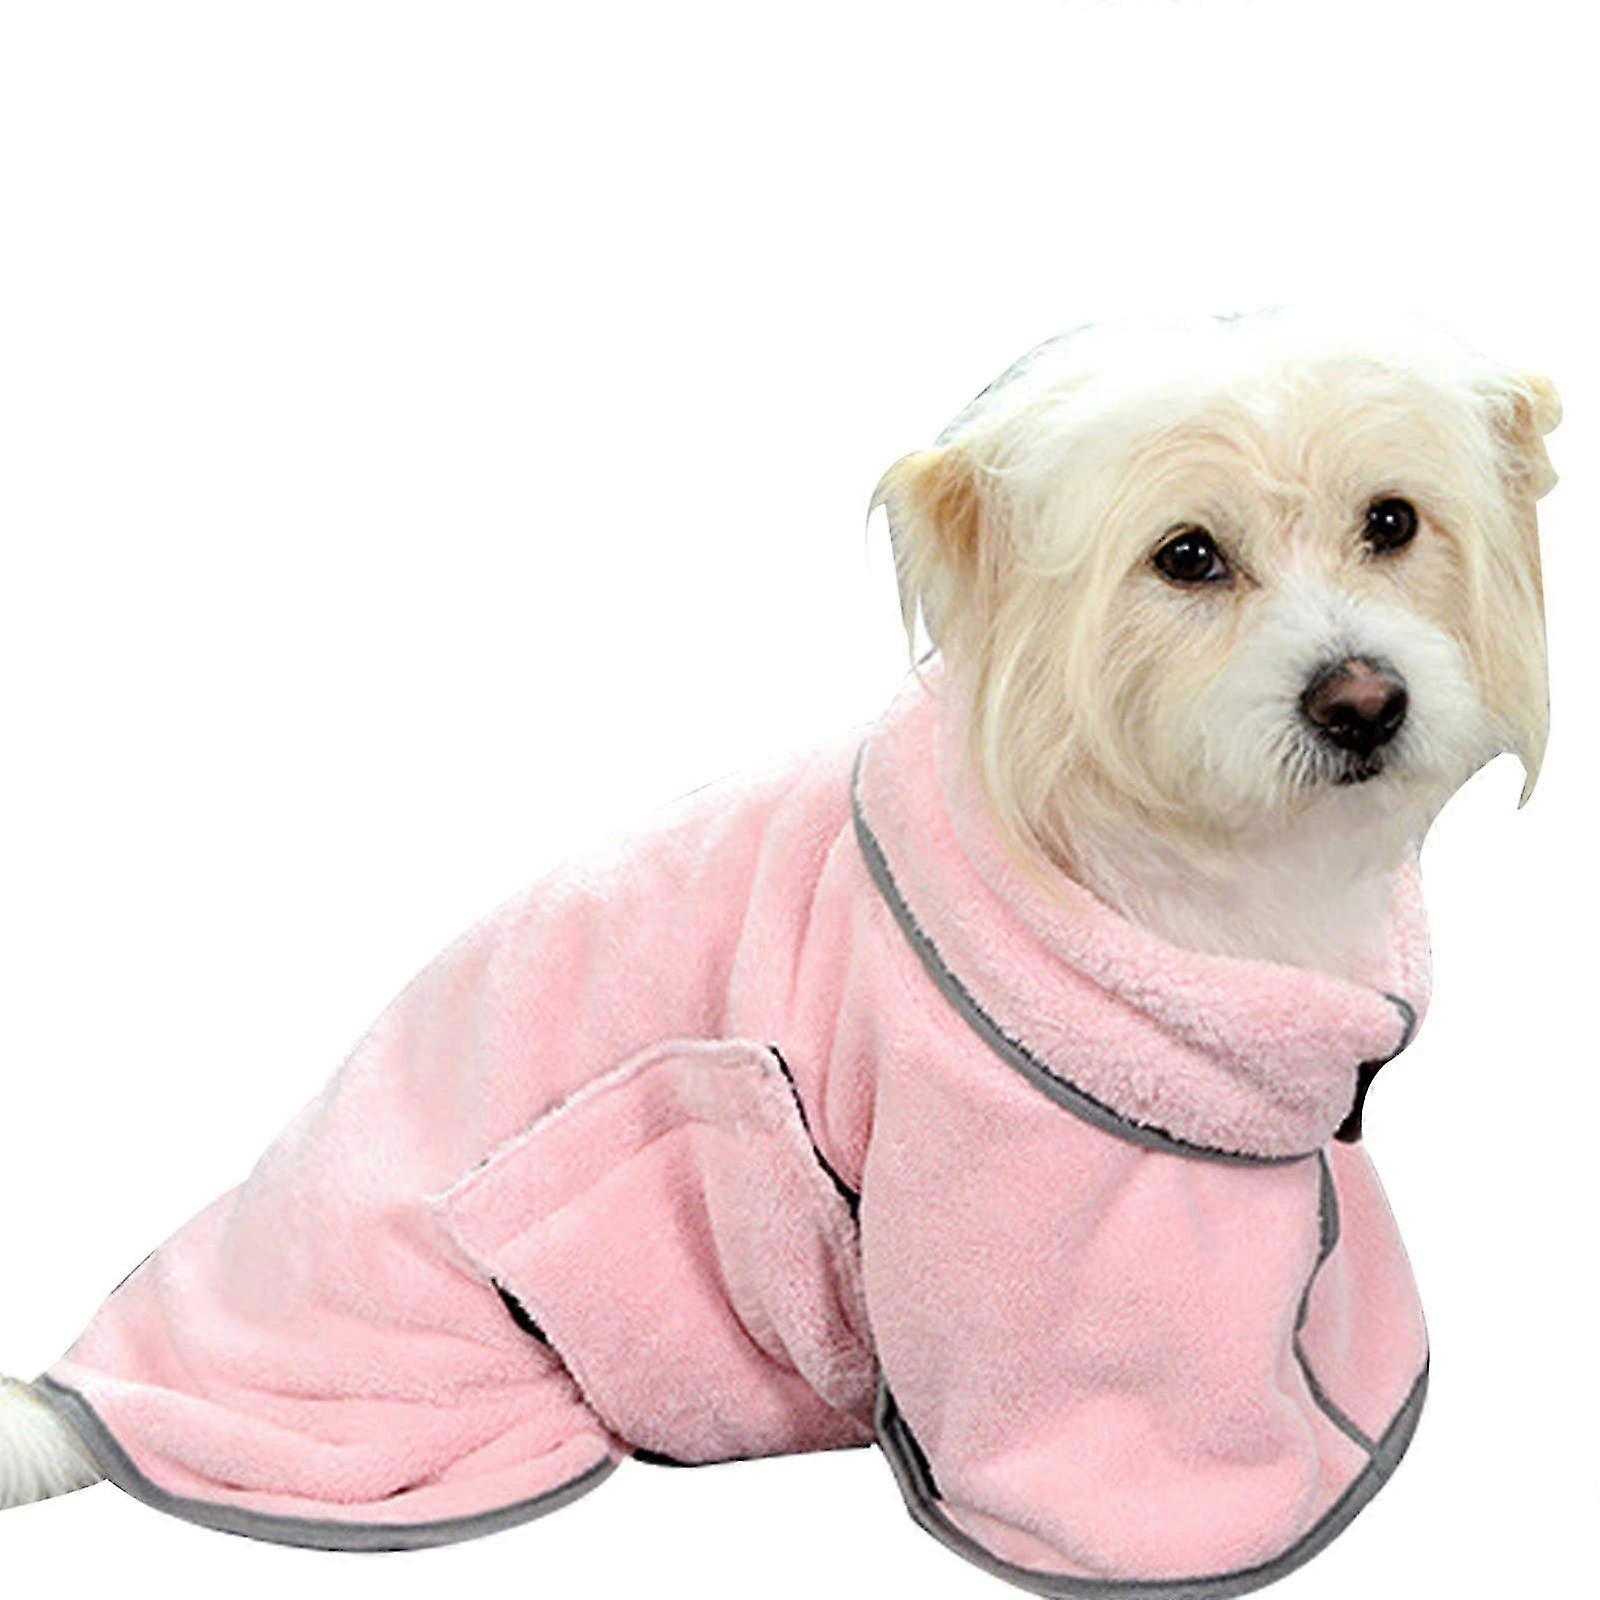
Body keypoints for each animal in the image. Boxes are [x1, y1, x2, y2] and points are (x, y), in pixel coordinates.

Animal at [0, 309, 1557, 1592]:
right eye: (1186, 557)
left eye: (1394, 522)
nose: (1362, 699)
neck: (1199, 881)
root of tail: (108, 1374)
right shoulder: (1034, 1239)